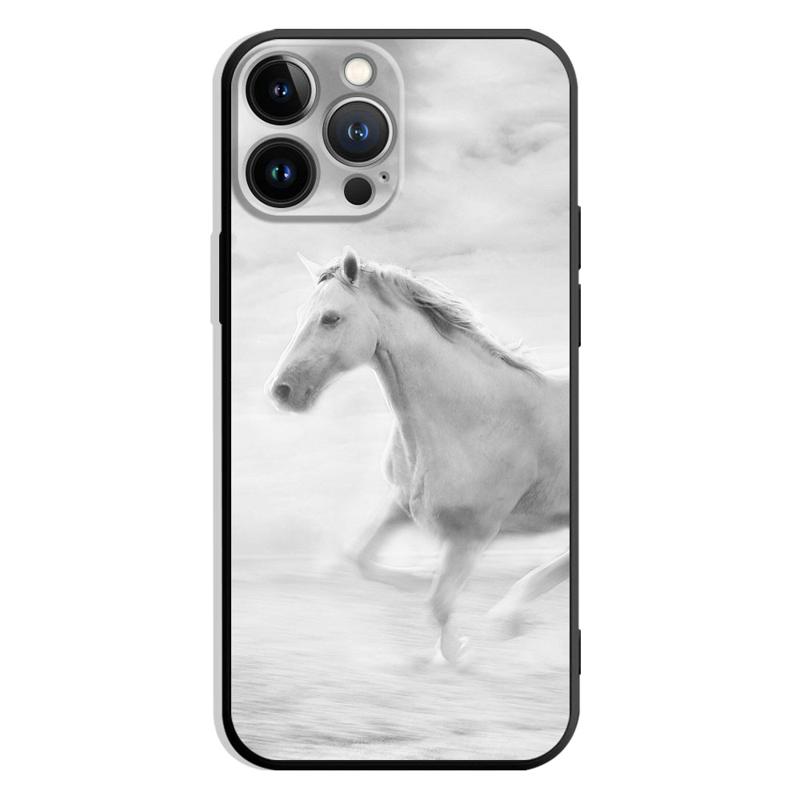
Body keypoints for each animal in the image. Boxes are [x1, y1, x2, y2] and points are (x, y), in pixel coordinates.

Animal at [266, 246, 570, 664]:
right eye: (301, 315)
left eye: (330, 318)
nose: (281, 390)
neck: (474, 415)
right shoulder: (401, 504)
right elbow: (358, 558)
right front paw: (417, 579)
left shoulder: (472, 534)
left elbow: (438, 603)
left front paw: (459, 655)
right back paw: (511, 616)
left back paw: (509, 617)